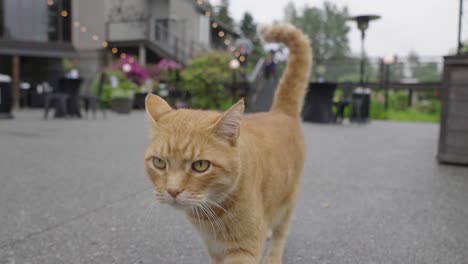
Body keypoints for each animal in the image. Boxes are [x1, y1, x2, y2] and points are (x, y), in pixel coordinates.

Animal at [144, 23, 312, 262]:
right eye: (159, 163)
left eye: (200, 165)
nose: (173, 191)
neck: (210, 216)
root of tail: (279, 112)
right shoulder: (214, 249)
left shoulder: (244, 250)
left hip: (288, 201)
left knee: (281, 233)